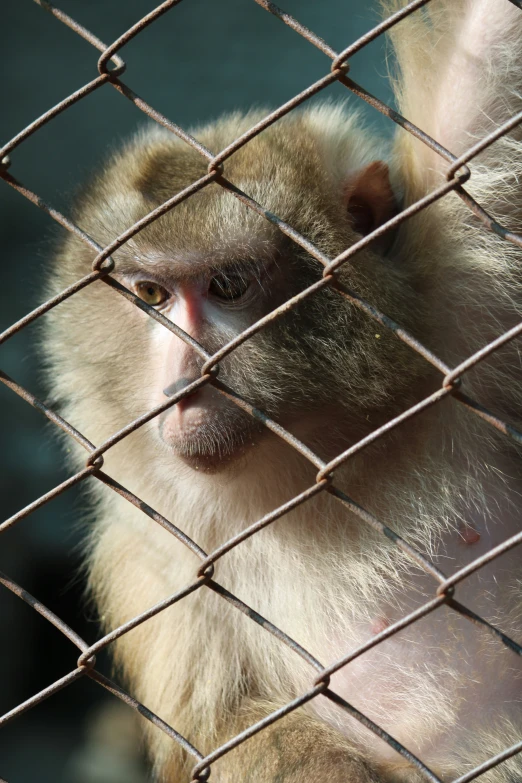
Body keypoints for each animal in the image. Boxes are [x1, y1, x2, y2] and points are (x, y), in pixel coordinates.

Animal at [41, 0, 520, 780]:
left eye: (229, 286)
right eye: (151, 296)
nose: (184, 381)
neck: (327, 457)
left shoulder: (464, 305)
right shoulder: (154, 549)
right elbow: (224, 735)